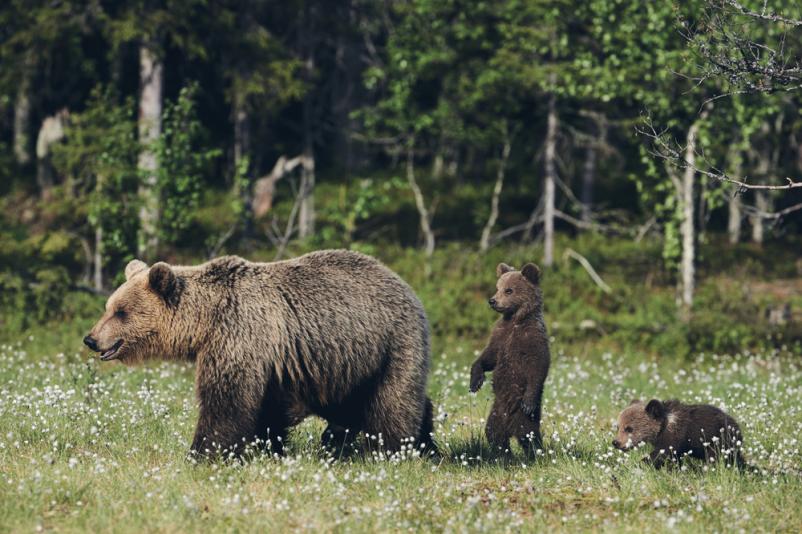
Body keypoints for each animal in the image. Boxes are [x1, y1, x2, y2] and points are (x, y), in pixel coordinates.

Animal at [83, 250, 435, 458]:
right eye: (109, 307)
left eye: (121, 312)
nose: (91, 339)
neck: (206, 321)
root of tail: (405, 284)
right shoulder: (274, 360)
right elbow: (267, 409)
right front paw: (267, 447)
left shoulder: (239, 335)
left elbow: (226, 401)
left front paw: (202, 453)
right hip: (344, 364)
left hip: (390, 344)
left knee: (392, 402)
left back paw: (397, 449)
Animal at [469, 262, 550, 454]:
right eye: (497, 287)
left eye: (509, 290)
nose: (492, 300)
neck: (515, 319)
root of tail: (510, 427)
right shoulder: (500, 336)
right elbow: (489, 357)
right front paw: (475, 381)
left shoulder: (532, 339)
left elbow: (538, 366)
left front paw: (528, 400)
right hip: (496, 412)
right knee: (494, 433)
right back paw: (504, 454)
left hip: (523, 415)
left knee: (529, 435)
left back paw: (535, 454)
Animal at [613, 399, 745, 469]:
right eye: (618, 427)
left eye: (629, 428)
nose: (616, 442)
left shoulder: (676, 437)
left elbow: (662, 453)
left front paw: (641, 464)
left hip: (720, 441)